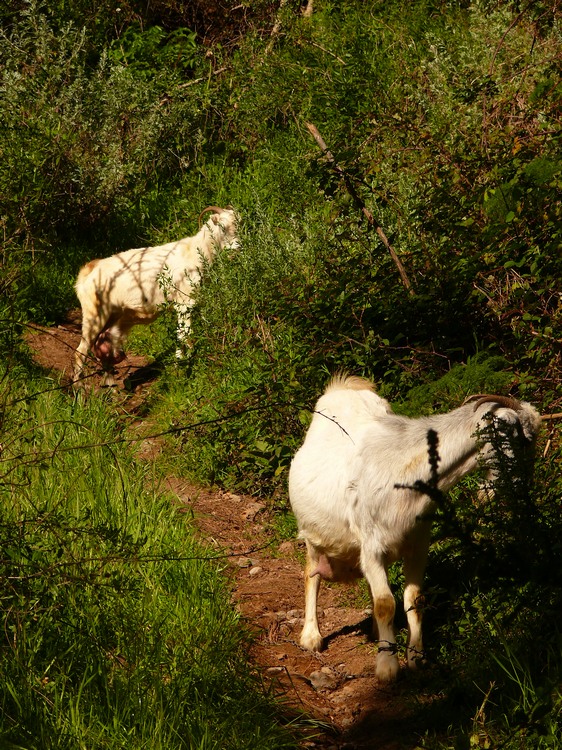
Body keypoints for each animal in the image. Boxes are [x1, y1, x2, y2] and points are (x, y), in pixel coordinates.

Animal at [72, 204, 236, 382]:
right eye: (222, 226)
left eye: (239, 223)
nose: (237, 248)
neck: (196, 252)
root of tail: (89, 270)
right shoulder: (184, 303)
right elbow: (186, 335)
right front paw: (188, 366)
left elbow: (180, 335)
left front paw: (179, 365)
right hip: (93, 316)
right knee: (80, 352)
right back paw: (78, 388)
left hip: (112, 317)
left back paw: (110, 385)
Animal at [286, 374, 540, 680]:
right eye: (523, 438)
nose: (524, 485)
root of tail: (344, 387)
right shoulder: (372, 547)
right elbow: (386, 603)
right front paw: (387, 665)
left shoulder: (418, 545)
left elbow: (414, 599)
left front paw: (416, 657)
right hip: (313, 536)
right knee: (311, 575)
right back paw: (311, 636)